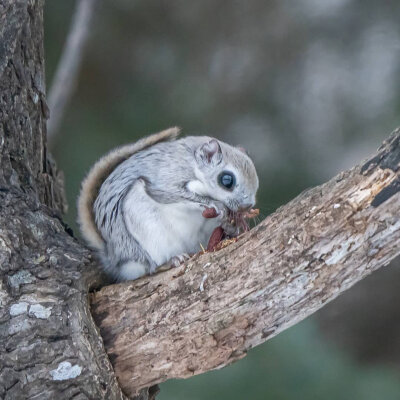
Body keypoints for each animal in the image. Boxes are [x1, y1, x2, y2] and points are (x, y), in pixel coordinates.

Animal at [77, 126, 260, 280]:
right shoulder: (166, 178)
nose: (247, 207)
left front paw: (233, 226)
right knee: (150, 267)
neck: (193, 164)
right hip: (147, 233)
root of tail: (113, 257)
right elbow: (170, 194)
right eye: (227, 180)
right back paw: (171, 261)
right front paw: (216, 204)